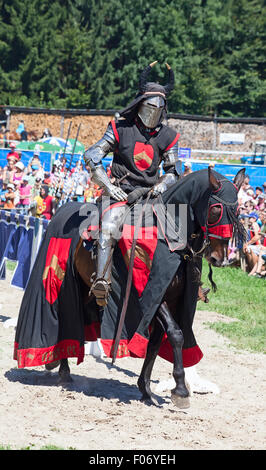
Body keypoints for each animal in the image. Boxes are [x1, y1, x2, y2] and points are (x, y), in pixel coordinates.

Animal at [13, 168, 245, 408]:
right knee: (67, 319)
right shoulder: (152, 297)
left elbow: (155, 344)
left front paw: (146, 389)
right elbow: (176, 334)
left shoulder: (169, 301)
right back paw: (63, 369)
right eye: (216, 209)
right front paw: (180, 390)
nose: (219, 258)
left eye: (237, 210)